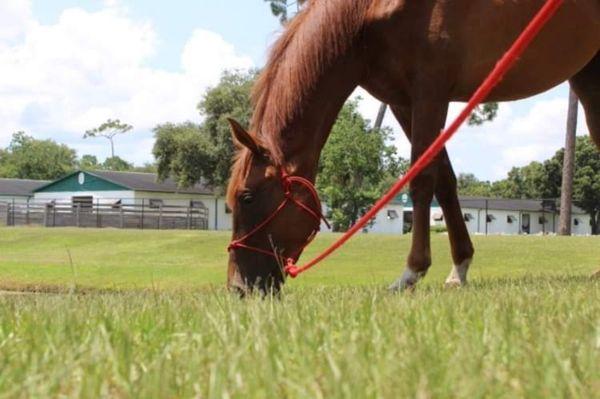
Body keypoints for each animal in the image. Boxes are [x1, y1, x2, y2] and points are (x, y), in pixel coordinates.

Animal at [226, 0, 600, 294]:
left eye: (247, 197)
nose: (238, 288)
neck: (366, 13)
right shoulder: (402, 101)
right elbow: (444, 180)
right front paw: (459, 268)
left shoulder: (430, 90)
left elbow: (422, 179)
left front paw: (411, 272)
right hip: (587, 74)